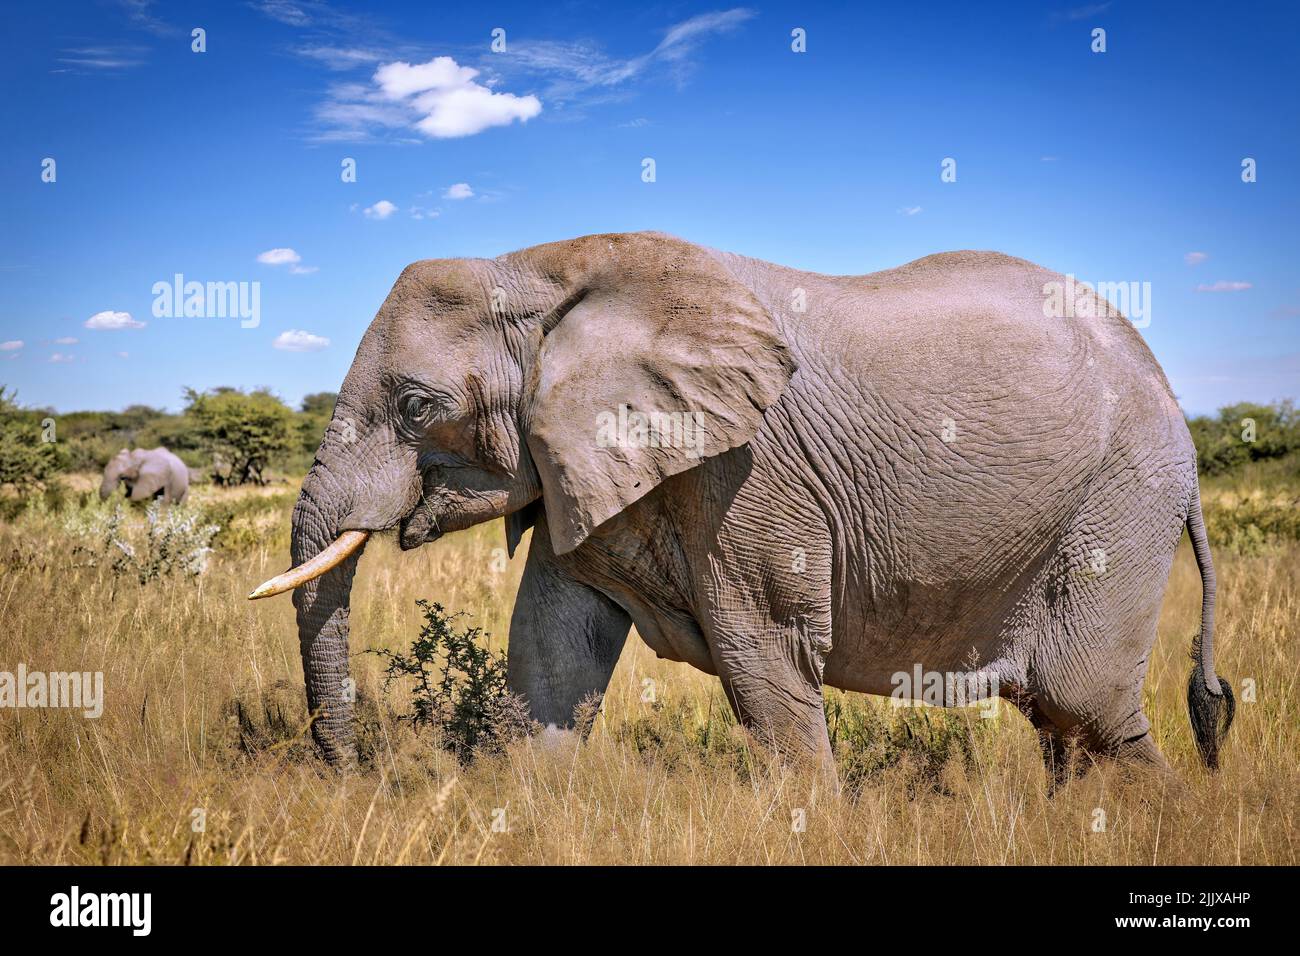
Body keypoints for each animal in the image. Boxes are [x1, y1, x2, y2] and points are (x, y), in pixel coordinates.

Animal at [248, 227, 1232, 780]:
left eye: (417, 407)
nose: (354, 779)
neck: (536, 271)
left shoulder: (752, 473)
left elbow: (764, 649)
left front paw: (812, 825)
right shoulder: (578, 458)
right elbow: (552, 647)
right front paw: (528, 806)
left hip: (1117, 507)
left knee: (1086, 706)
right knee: (1065, 721)